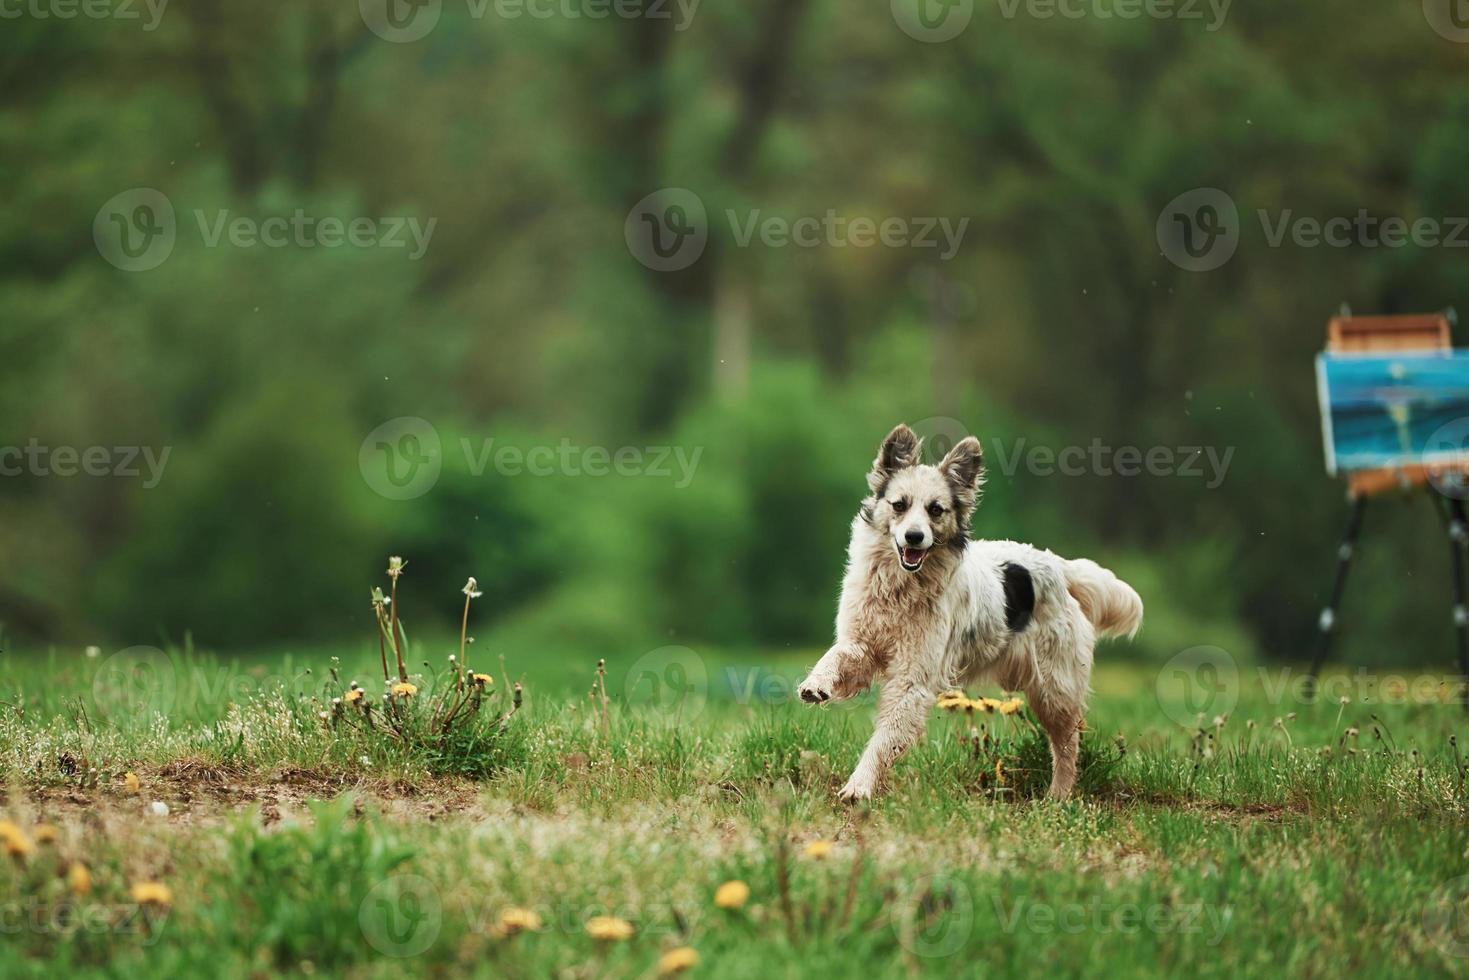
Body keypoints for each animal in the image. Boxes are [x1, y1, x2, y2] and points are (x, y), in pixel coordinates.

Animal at [799, 426, 1139, 799]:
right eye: (899, 505)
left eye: (936, 510)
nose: (914, 537)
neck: (902, 588)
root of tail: (1058, 565)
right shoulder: (862, 643)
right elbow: (836, 656)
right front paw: (816, 684)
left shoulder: (912, 679)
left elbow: (885, 737)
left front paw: (860, 785)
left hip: (1055, 688)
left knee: (1067, 744)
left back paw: (1058, 797)